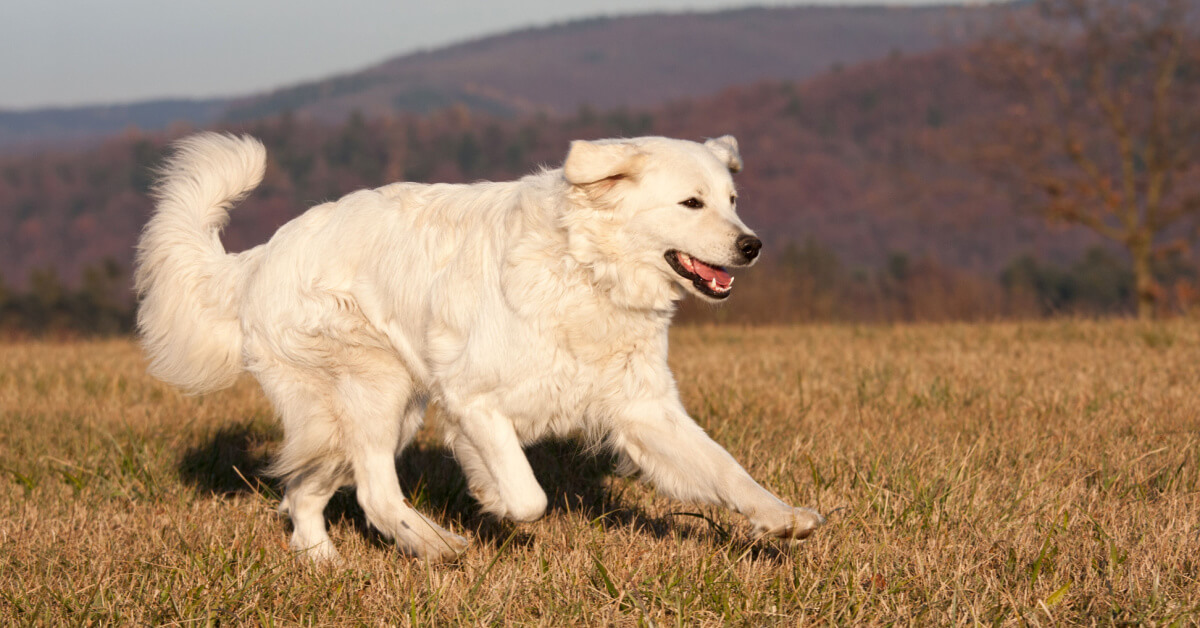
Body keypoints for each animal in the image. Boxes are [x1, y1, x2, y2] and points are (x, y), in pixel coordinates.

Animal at [133, 130, 825, 561]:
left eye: (732, 200)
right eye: (691, 203)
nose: (752, 245)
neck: (585, 270)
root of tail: (258, 257)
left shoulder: (644, 410)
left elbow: (726, 470)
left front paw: (782, 517)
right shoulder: (470, 400)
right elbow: (529, 495)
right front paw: (493, 500)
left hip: (366, 413)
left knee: (304, 494)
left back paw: (325, 563)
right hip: (376, 387)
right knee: (374, 493)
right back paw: (436, 546)